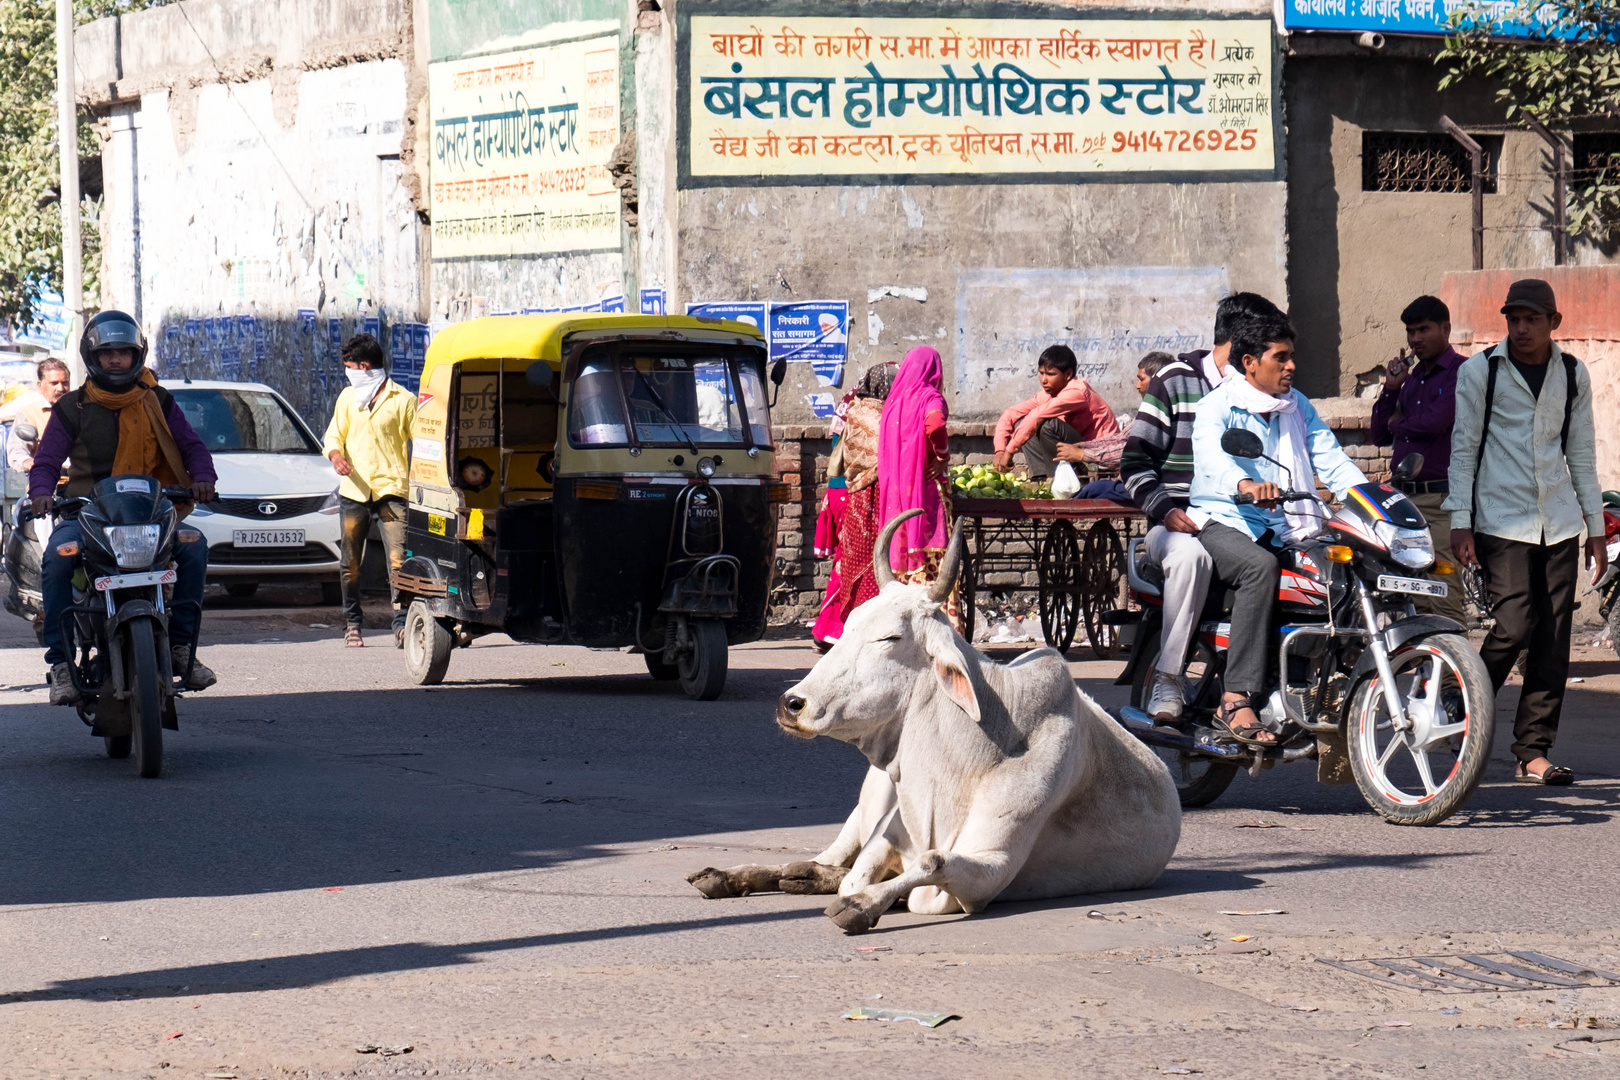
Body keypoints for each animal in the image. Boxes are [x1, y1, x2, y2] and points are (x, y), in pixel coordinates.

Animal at [690, 511, 1185, 932]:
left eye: (889, 637)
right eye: (848, 624)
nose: (792, 703)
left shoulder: (991, 867)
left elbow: (926, 870)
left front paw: (863, 904)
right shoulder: (886, 828)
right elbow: (859, 872)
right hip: (865, 804)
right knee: (828, 860)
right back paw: (730, 875)